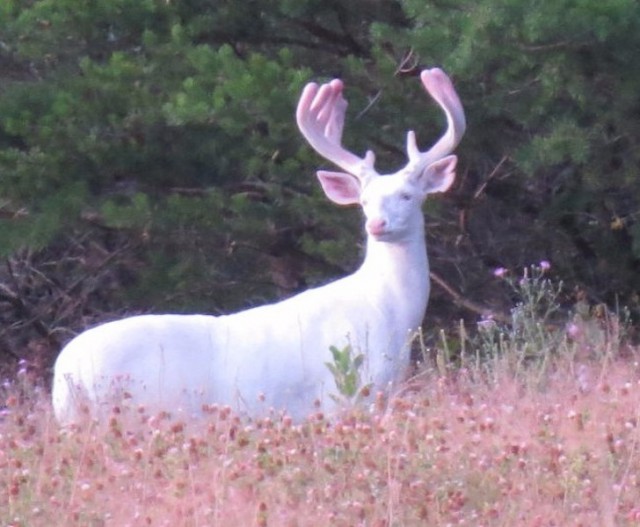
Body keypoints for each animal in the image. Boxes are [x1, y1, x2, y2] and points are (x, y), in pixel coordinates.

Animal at [52, 69, 464, 424]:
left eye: (408, 195)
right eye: (364, 201)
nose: (376, 224)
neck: (391, 312)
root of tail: (65, 372)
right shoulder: (343, 394)